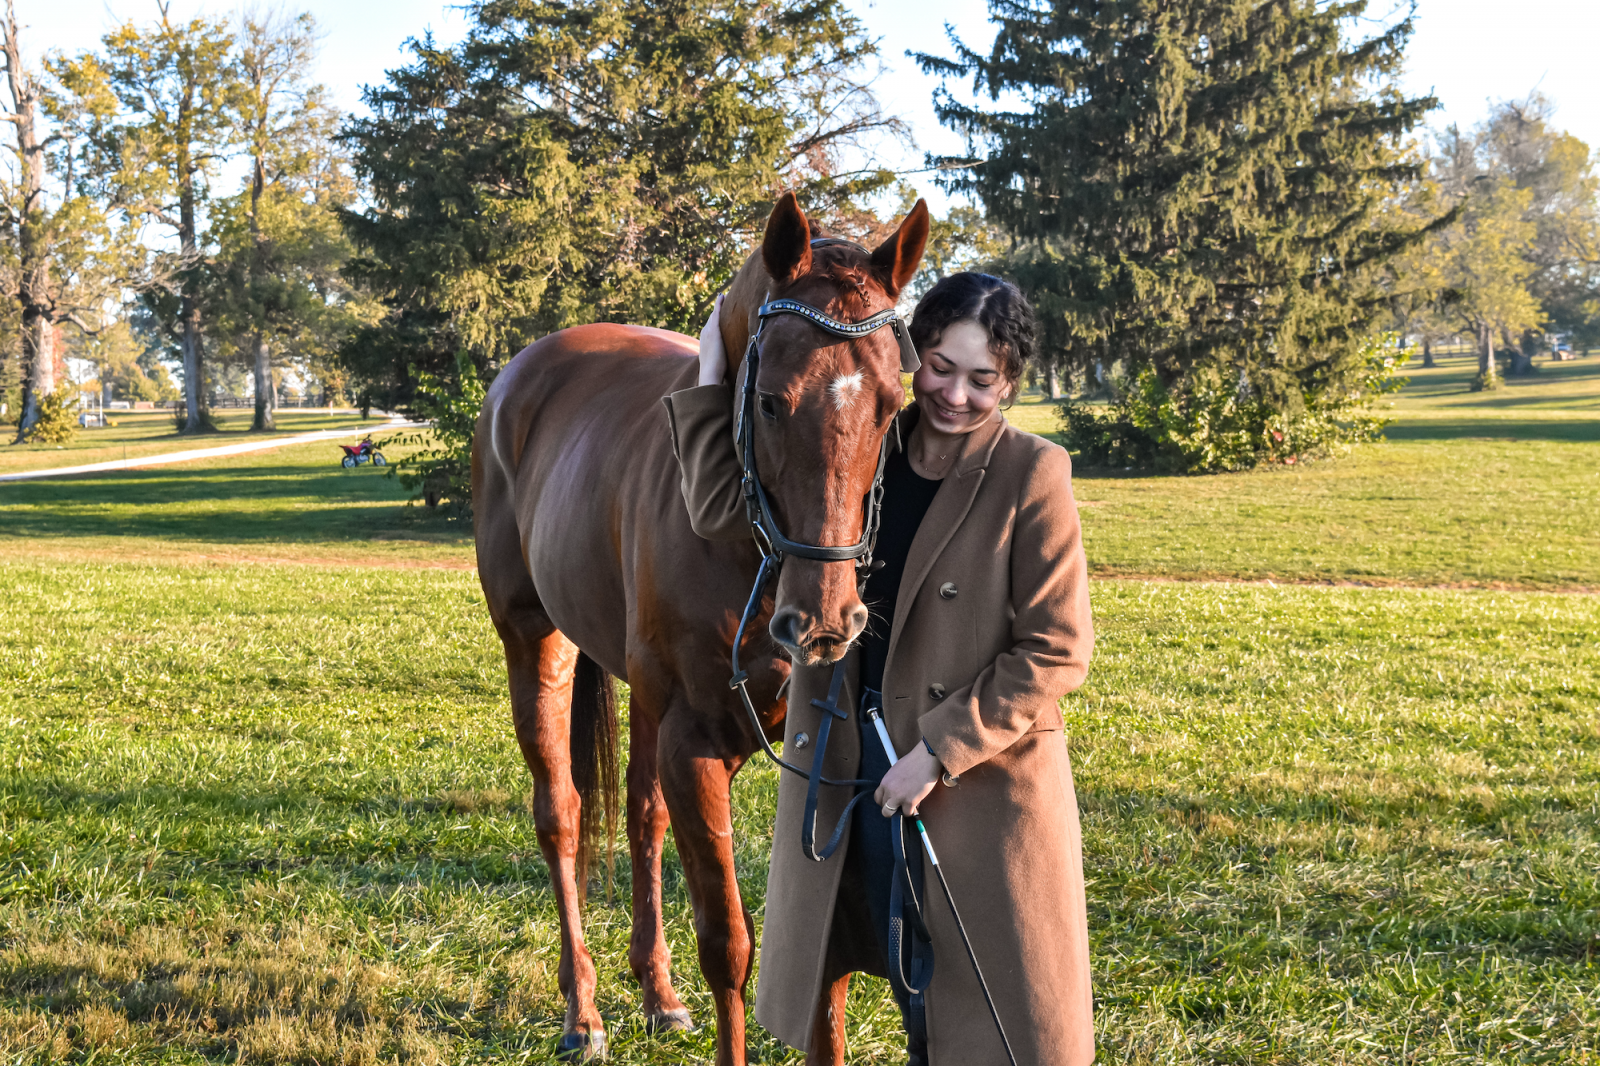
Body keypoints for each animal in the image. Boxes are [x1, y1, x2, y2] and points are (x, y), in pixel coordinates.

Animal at [472, 191, 929, 1065]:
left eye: (893, 405)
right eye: (771, 400)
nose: (825, 619)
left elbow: (827, 965)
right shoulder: (695, 743)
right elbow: (729, 944)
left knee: (642, 819)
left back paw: (657, 993)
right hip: (533, 645)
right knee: (562, 816)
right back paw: (582, 1010)